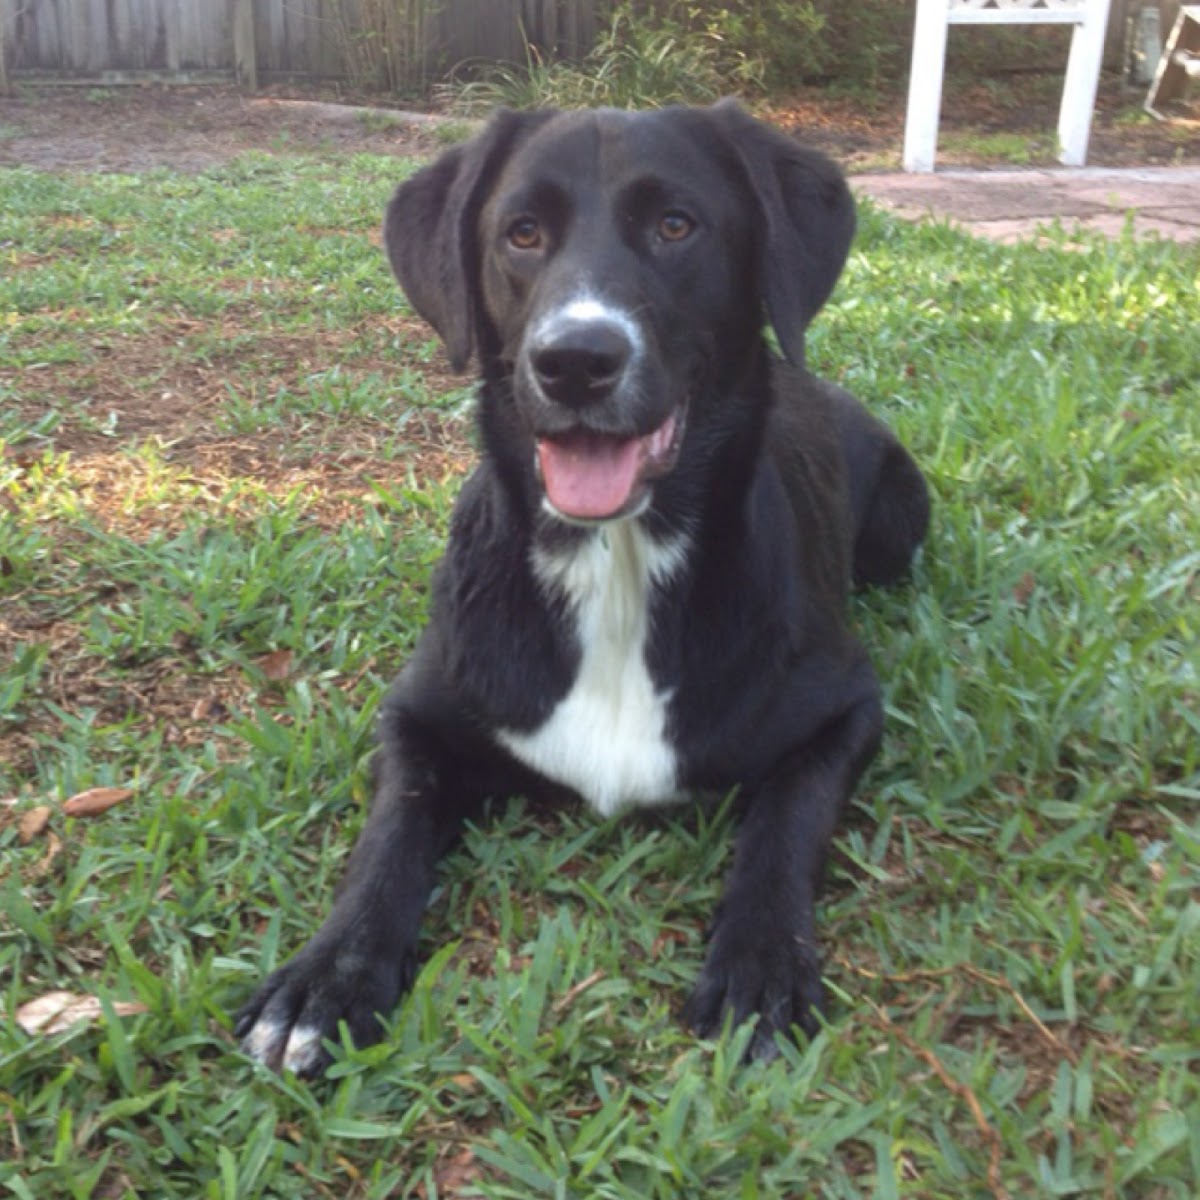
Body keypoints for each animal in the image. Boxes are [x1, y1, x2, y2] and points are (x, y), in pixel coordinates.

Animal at [234, 98, 926, 1075]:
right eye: (521, 233)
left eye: (676, 225)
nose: (575, 360)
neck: (617, 564)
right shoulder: (417, 712)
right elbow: (389, 832)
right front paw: (328, 976)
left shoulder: (846, 706)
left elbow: (786, 820)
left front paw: (760, 962)